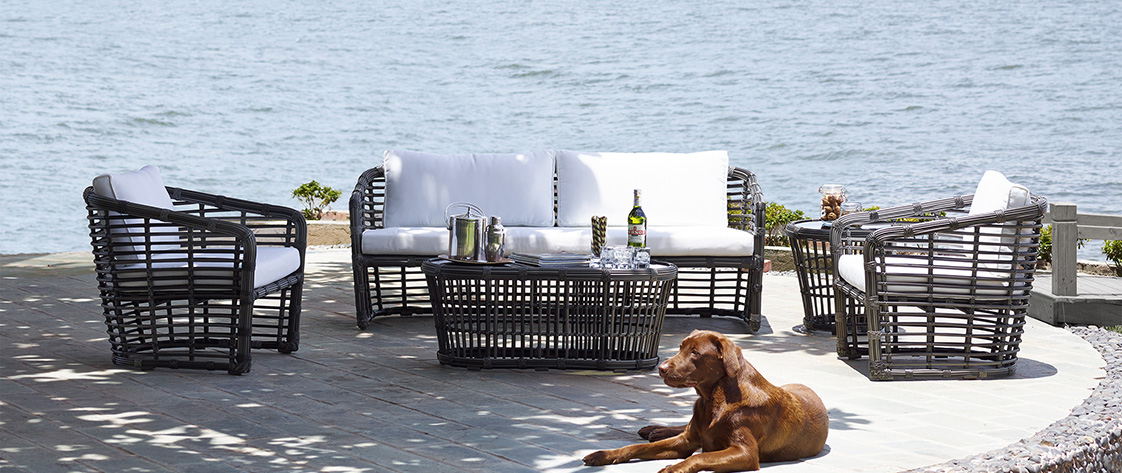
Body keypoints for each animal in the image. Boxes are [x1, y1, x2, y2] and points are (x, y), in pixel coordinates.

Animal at [582, 330, 828, 472]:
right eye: (681, 347)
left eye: (695, 353)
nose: (661, 368)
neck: (713, 400)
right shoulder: (685, 442)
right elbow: (636, 447)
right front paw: (602, 455)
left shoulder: (746, 453)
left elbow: (698, 457)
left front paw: (674, 468)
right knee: (681, 427)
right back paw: (654, 429)